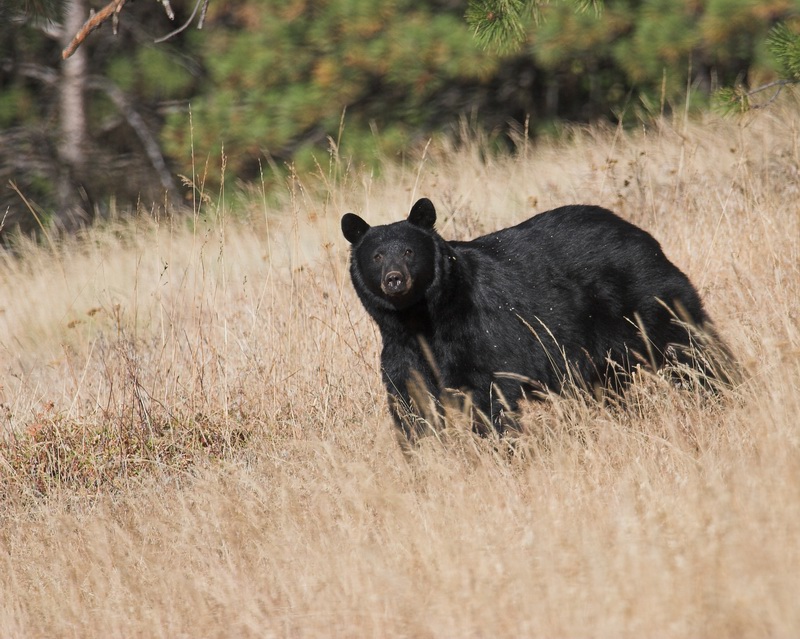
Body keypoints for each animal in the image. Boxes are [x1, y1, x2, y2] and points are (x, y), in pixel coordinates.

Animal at [341, 198, 725, 438]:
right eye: (376, 256)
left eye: (409, 252)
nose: (395, 280)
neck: (421, 318)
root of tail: (639, 233)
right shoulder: (402, 349)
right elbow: (411, 403)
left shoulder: (479, 332)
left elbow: (489, 393)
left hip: (645, 298)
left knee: (689, 347)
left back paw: (723, 390)